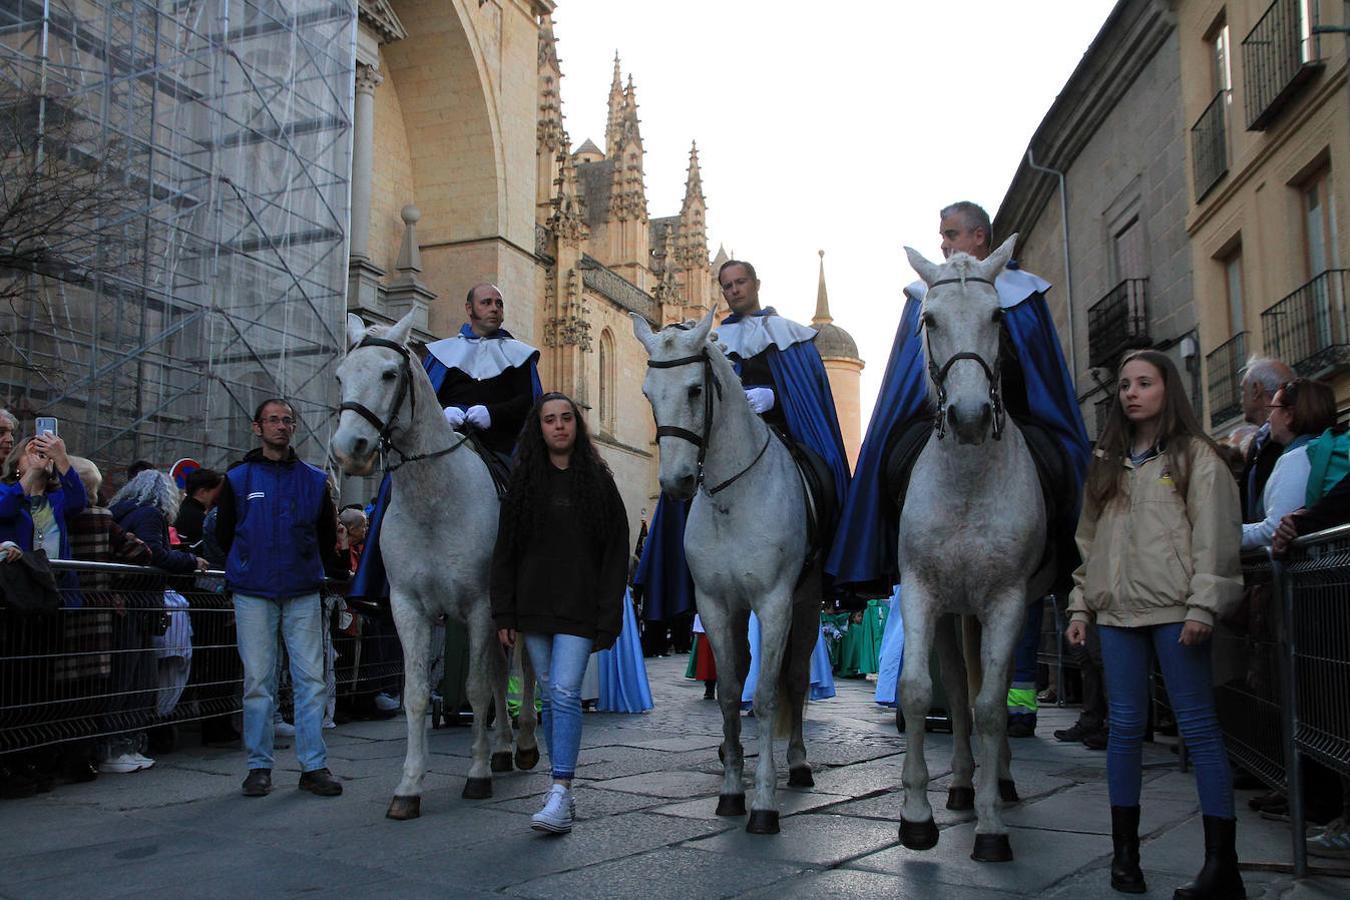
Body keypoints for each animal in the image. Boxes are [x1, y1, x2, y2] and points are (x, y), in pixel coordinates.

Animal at [328, 311, 537, 825]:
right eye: (341, 376)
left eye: (390, 373)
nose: (350, 447)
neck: (434, 499)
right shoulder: (408, 609)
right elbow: (419, 694)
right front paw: (409, 787)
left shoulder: (481, 606)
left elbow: (476, 689)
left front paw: (476, 776)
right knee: (502, 673)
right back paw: (502, 748)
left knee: (523, 669)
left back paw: (523, 744)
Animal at [629, 311, 810, 836]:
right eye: (647, 393)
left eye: (694, 389)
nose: (677, 482)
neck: (733, 498)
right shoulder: (715, 605)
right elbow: (730, 694)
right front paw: (731, 790)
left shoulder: (775, 602)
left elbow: (766, 695)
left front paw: (765, 802)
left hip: (808, 602)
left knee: (796, 678)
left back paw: (799, 762)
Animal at [896, 236, 1053, 863]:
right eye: (930, 320)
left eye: (997, 317)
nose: (967, 417)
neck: (965, 483)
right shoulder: (921, 593)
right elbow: (921, 693)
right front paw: (916, 817)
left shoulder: (1007, 601)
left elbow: (990, 705)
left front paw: (991, 827)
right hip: (954, 613)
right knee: (958, 693)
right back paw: (962, 783)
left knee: (991, 689)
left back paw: (999, 782)